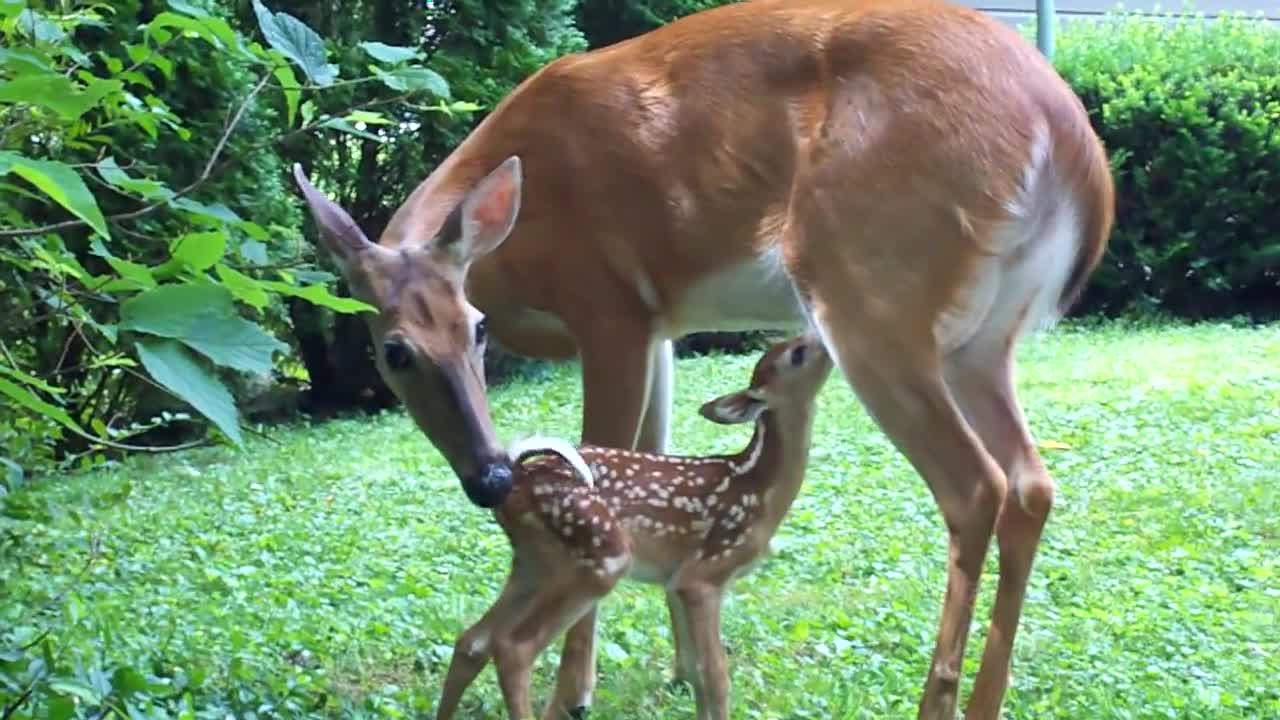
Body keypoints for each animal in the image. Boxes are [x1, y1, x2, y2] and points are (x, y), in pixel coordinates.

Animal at [437, 333, 839, 717]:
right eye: (797, 353)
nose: (824, 334)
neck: (758, 488)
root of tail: (517, 480)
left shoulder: (676, 581)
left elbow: (695, 673)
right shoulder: (704, 573)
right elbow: (716, 676)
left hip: (535, 564)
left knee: (472, 641)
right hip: (601, 554)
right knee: (512, 649)